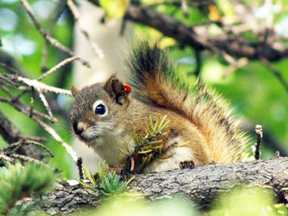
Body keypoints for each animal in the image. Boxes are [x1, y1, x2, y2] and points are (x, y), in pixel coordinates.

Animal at [68, 41, 249, 174]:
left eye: (100, 109)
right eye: (72, 112)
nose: (78, 128)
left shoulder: (152, 129)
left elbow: (139, 155)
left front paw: (119, 168)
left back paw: (187, 165)